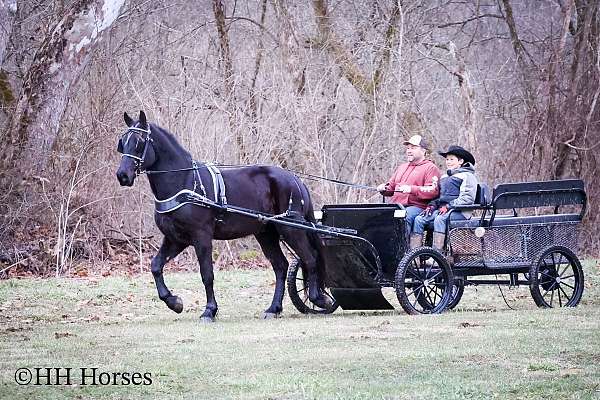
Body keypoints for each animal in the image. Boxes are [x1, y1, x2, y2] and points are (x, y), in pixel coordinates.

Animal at [115, 110, 330, 322]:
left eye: (140, 141)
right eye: (123, 141)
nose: (122, 175)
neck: (184, 181)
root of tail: (294, 178)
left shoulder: (201, 236)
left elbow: (206, 274)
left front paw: (209, 310)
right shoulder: (176, 239)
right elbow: (155, 266)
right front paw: (174, 302)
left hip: (291, 228)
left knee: (310, 258)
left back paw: (318, 298)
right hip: (266, 233)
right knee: (281, 266)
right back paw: (273, 308)